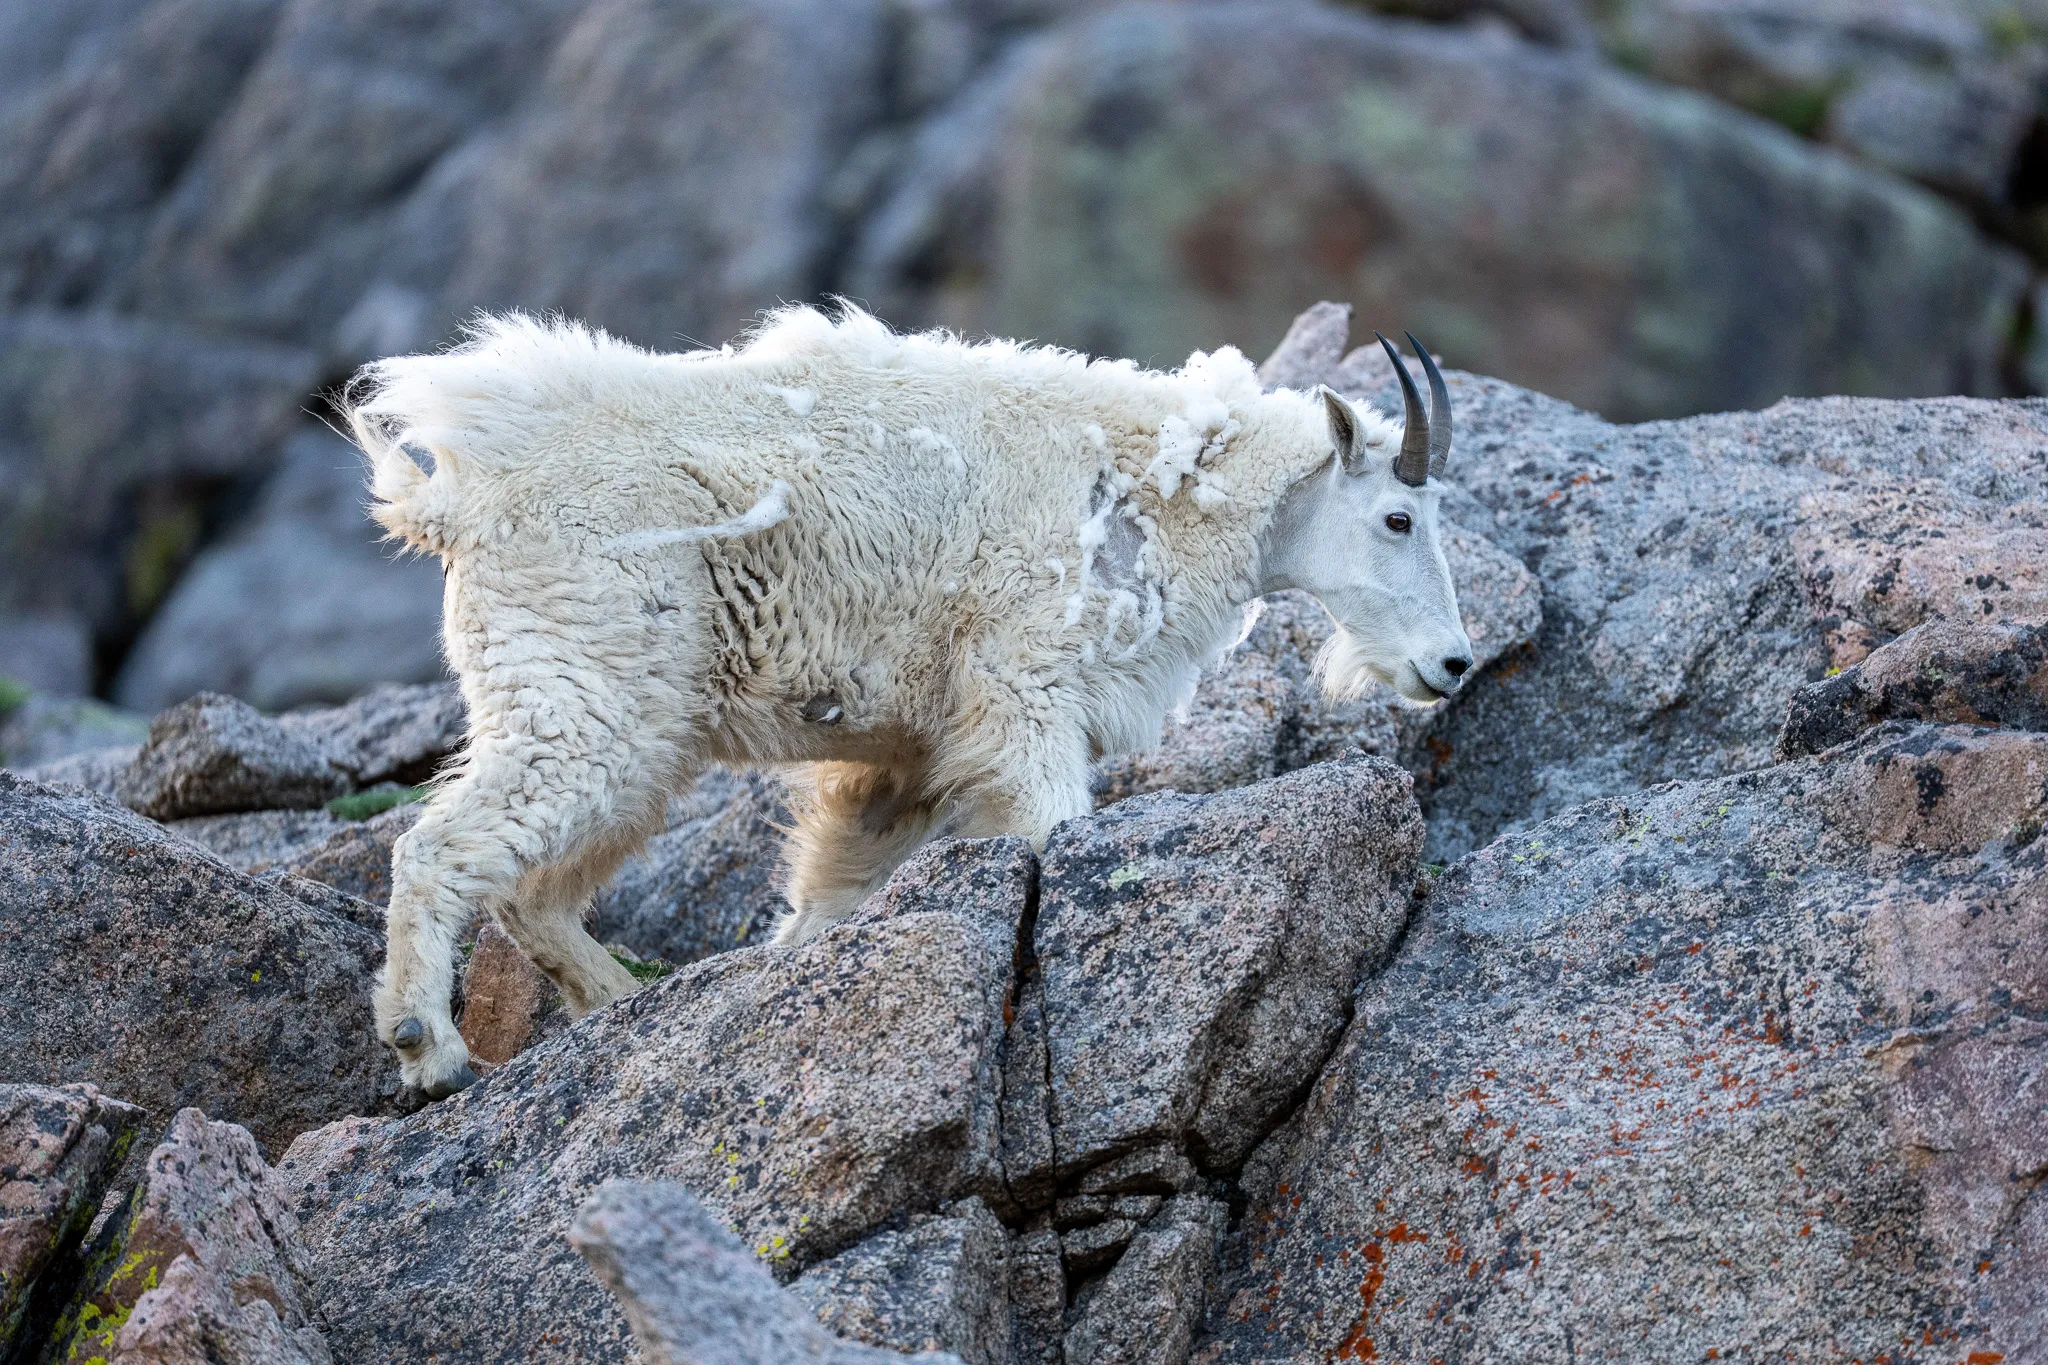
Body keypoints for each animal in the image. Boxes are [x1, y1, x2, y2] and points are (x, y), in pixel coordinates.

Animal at [345, 305, 1471, 1096]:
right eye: (1398, 517)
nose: (1453, 664)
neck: (1164, 487)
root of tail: (455, 498)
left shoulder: (910, 756)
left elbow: (831, 891)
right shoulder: (1024, 682)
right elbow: (1048, 825)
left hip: (639, 721)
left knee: (535, 891)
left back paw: (625, 1006)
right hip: (585, 680)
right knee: (441, 846)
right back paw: (427, 1047)